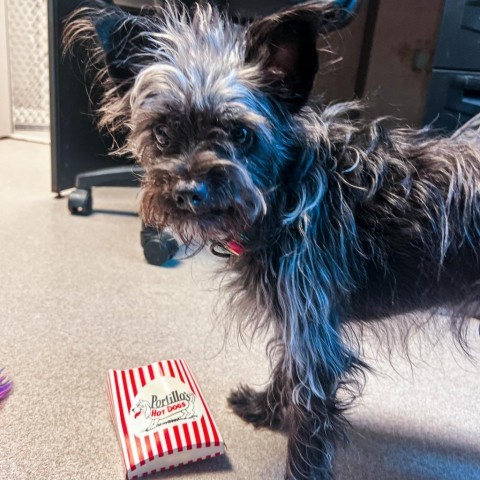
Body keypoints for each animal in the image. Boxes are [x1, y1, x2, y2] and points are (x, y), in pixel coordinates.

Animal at [65, 1, 480, 478]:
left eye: (240, 133)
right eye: (162, 133)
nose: (189, 191)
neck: (288, 194)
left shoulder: (314, 338)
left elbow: (308, 421)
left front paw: (299, 465)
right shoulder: (294, 323)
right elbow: (284, 370)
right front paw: (265, 410)